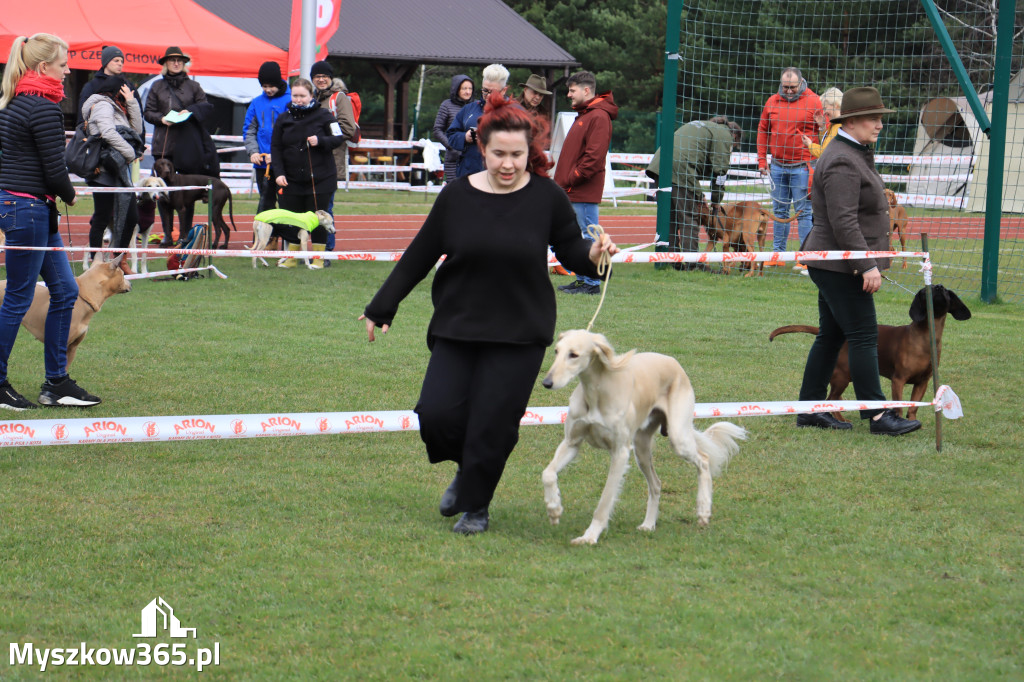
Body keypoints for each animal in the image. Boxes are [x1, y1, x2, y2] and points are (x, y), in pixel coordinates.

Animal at [540, 329, 749, 548]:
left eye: (574, 354)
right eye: (556, 351)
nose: (547, 382)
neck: (596, 392)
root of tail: (673, 361)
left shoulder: (620, 453)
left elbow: (605, 500)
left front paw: (589, 536)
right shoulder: (571, 443)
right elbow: (548, 474)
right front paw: (554, 509)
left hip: (678, 437)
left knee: (704, 460)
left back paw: (703, 510)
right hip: (641, 447)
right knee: (656, 484)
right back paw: (649, 524)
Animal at [770, 282, 970, 419]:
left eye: (946, 291)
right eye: (925, 290)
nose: (939, 287)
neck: (925, 338)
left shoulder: (922, 383)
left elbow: (913, 407)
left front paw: (913, 422)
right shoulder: (898, 380)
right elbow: (898, 406)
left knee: (835, 398)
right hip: (842, 376)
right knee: (829, 399)